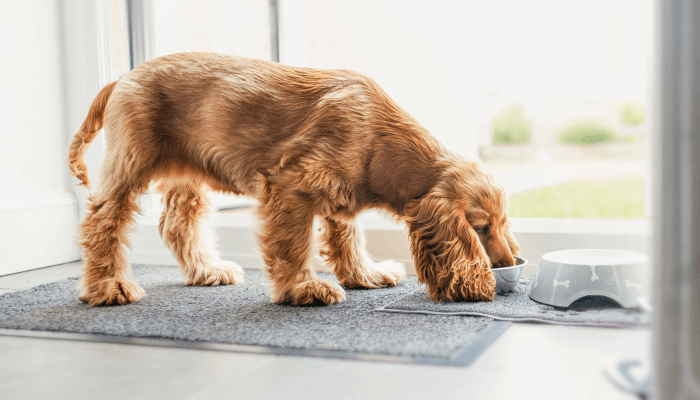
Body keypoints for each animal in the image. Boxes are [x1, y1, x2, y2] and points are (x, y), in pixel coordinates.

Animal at [68, 52, 516, 306]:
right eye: (481, 228)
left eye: (502, 224)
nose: (510, 264)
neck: (379, 136)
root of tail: (122, 77)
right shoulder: (289, 186)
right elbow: (294, 245)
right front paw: (303, 289)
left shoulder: (340, 195)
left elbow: (347, 237)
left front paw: (364, 275)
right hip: (130, 162)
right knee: (102, 222)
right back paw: (108, 286)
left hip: (187, 175)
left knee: (177, 224)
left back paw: (207, 271)